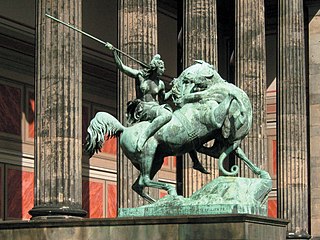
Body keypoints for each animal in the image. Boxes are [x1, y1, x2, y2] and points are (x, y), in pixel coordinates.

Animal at [85, 60, 268, 202]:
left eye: (188, 75)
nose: (174, 84)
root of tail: (124, 129)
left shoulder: (222, 139)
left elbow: (239, 153)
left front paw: (260, 173)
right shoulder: (214, 119)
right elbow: (229, 99)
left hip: (156, 160)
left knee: (138, 185)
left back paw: (159, 202)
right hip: (148, 153)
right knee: (145, 180)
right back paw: (171, 193)